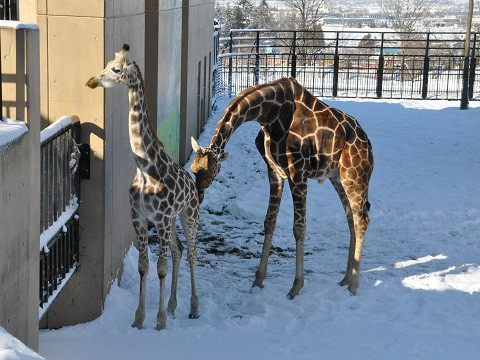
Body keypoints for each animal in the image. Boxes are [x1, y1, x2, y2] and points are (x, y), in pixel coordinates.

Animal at [86, 44, 199, 330]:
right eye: (106, 64)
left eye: (116, 69)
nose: (92, 81)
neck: (144, 166)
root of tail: (192, 184)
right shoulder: (139, 217)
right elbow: (143, 266)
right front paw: (139, 319)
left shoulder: (160, 219)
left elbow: (160, 267)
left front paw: (159, 322)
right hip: (172, 220)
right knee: (179, 251)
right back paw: (173, 305)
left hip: (188, 215)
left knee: (192, 254)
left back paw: (194, 307)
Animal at [191, 78, 376, 298]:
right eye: (193, 169)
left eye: (213, 172)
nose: (199, 196)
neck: (268, 115)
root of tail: (368, 143)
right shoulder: (274, 171)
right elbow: (269, 222)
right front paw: (258, 280)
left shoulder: (298, 171)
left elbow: (299, 228)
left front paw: (296, 287)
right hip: (337, 178)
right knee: (351, 220)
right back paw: (345, 279)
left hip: (354, 176)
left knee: (362, 220)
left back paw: (354, 285)